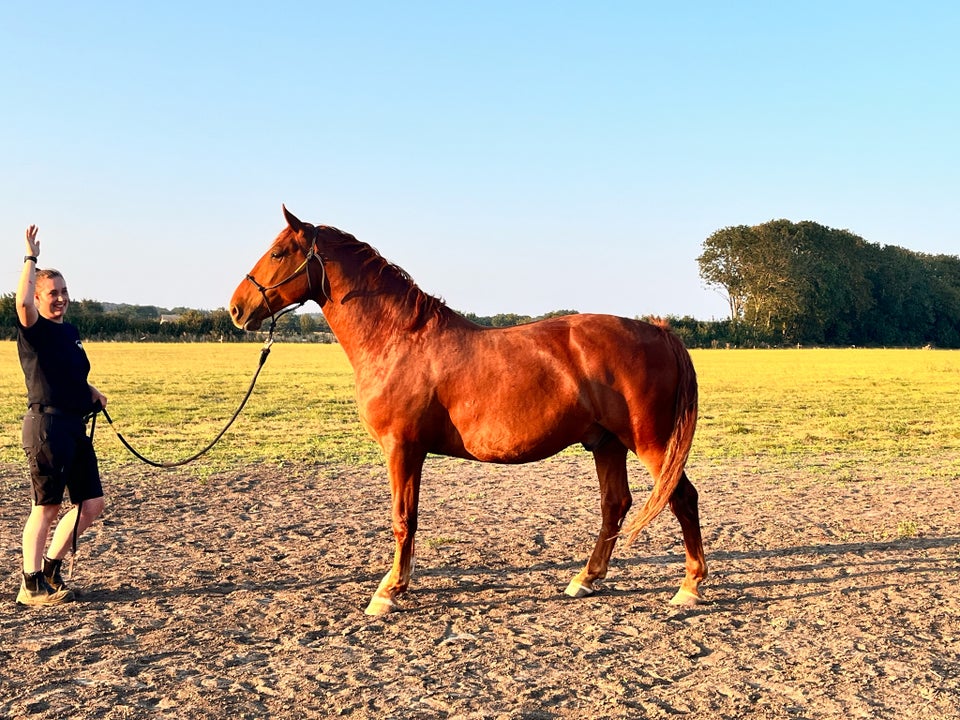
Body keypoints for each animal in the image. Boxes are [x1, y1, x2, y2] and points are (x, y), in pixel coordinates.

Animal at [231, 205, 704, 616]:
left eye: (278, 253)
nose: (236, 308)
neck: (398, 340)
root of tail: (659, 332)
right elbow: (408, 519)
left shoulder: (402, 448)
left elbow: (403, 520)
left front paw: (389, 592)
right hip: (606, 443)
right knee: (615, 504)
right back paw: (585, 578)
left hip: (650, 443)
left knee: (681, 497)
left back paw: (689, 587)